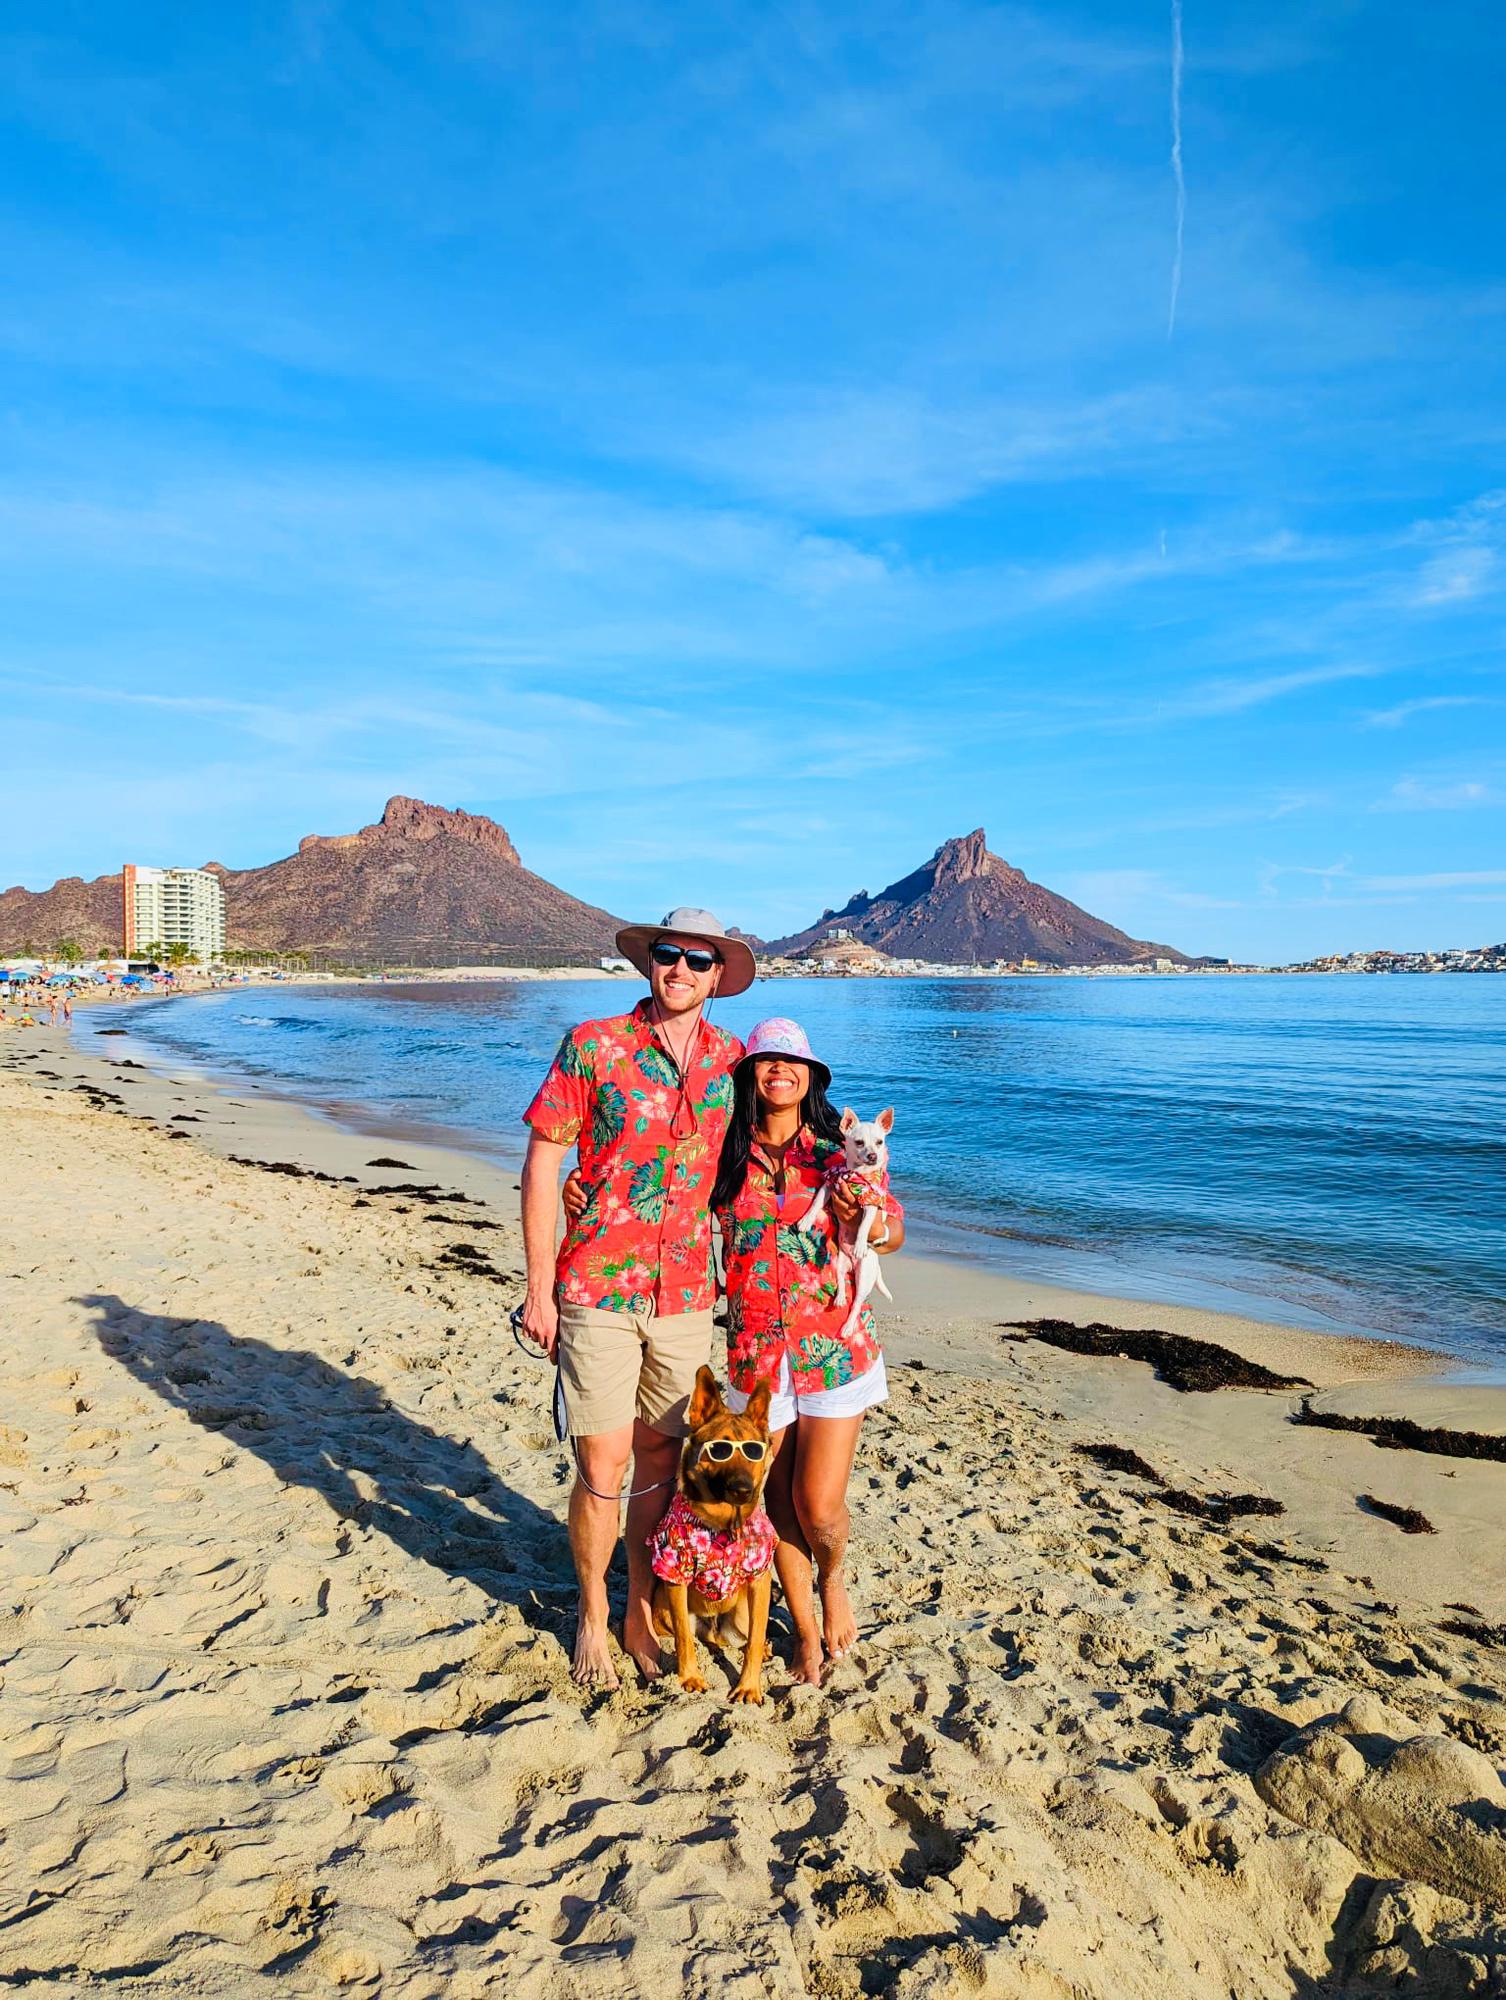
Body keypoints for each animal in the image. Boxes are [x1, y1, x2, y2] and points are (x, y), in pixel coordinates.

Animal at [648, 1360, 776, 1704]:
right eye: (719, 1450)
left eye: (753, 1451)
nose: (743, 1490)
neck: (722, 1526)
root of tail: (715, 1626)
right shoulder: (674, 1576)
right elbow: (683, 1637)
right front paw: (690, 1677)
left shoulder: (760, 1580)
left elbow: (756, 1638)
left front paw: (749, 1686)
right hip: (662, 1608)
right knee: (689, 1634)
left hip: (742, 1612)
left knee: (746, 1635)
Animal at [812, 1104, 892, 1336]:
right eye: (859, 1143)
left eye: (879, 1142)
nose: (873, 1155)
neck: (855, 1174)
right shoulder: (830, 1185)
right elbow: (816, 1203)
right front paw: (804, 1221)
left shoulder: (871, 1204)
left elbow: (864, 1225)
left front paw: (859, 1244)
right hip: (839, 1262)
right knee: (840, 1281)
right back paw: (839, 1298)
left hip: (864, 1275)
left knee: (856, 1303)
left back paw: (848, 1327)